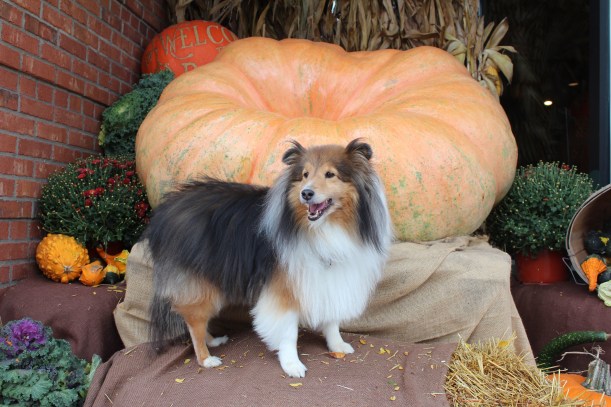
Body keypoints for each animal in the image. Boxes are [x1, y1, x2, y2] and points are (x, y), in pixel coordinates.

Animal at [145, 138, 393, 378]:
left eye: (330, 174)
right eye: (305, 175)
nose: (306, 193)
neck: (322, 228)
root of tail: (164, 212)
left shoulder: (329, 279)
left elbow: (332, 320)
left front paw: (337, 346)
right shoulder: (283, 290)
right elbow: (289, 333)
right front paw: (292, 365)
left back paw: (214, 341)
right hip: (201, 286)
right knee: (193, 321)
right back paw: (206, 359)